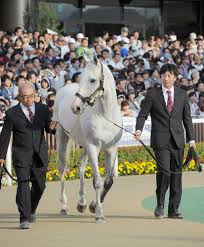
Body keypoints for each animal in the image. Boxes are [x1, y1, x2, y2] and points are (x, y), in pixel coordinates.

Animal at [53, 57, 122, 223]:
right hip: (62, 137)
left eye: (92, 80)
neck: (106, 116)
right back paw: (64, 206)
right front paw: (98, 214)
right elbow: (97, 182)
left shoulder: (111, 149)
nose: (75, 107)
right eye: (81, 79)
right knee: (62, 169)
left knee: (81, 166)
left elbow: (108, 182)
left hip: (84, 145)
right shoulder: (93, 147)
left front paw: (92, 205)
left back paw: (81, 203)